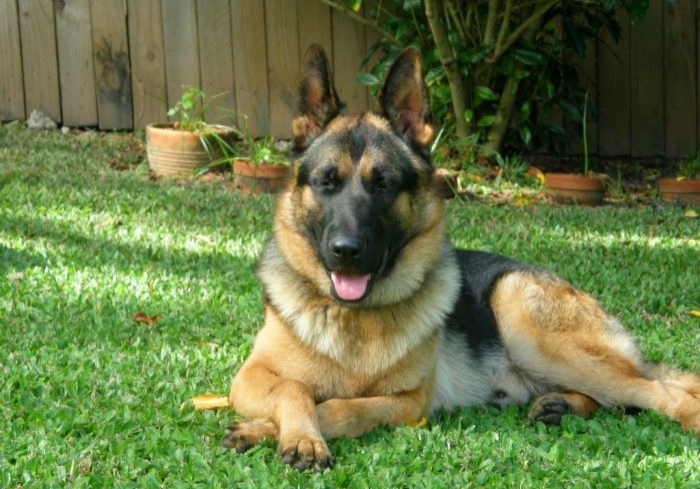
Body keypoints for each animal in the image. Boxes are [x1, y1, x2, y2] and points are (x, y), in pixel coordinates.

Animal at [226, 44, 700, 468]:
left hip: (522, 314)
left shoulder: (407, 402)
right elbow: (295, 388)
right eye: (327, 181)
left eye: (383, 185)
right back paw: (560, 406)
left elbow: (337, 407)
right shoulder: (248, 378)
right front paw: (290, 432)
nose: (347, 252)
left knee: (655, 392)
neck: (352, 318)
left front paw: (282, 433)